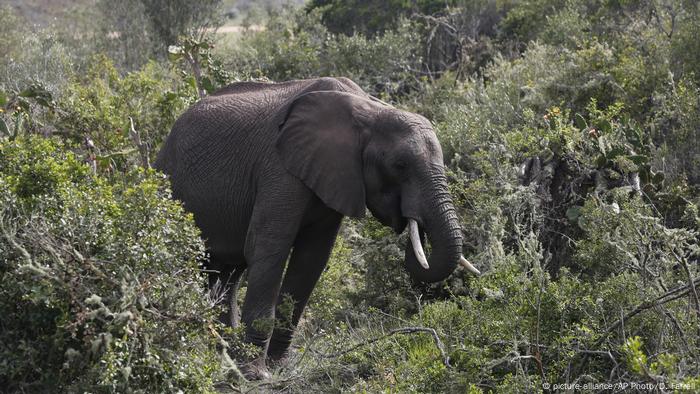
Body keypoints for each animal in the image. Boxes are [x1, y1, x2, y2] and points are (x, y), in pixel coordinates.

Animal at [155, 77, 478, 378]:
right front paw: (256, 375)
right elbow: (268, 245)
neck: (371, 111)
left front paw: (279, 367)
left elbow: (312, 258)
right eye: (399, 165)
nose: (414, 222)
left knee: (227, 275)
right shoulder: (279, 166)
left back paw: (226, 358)